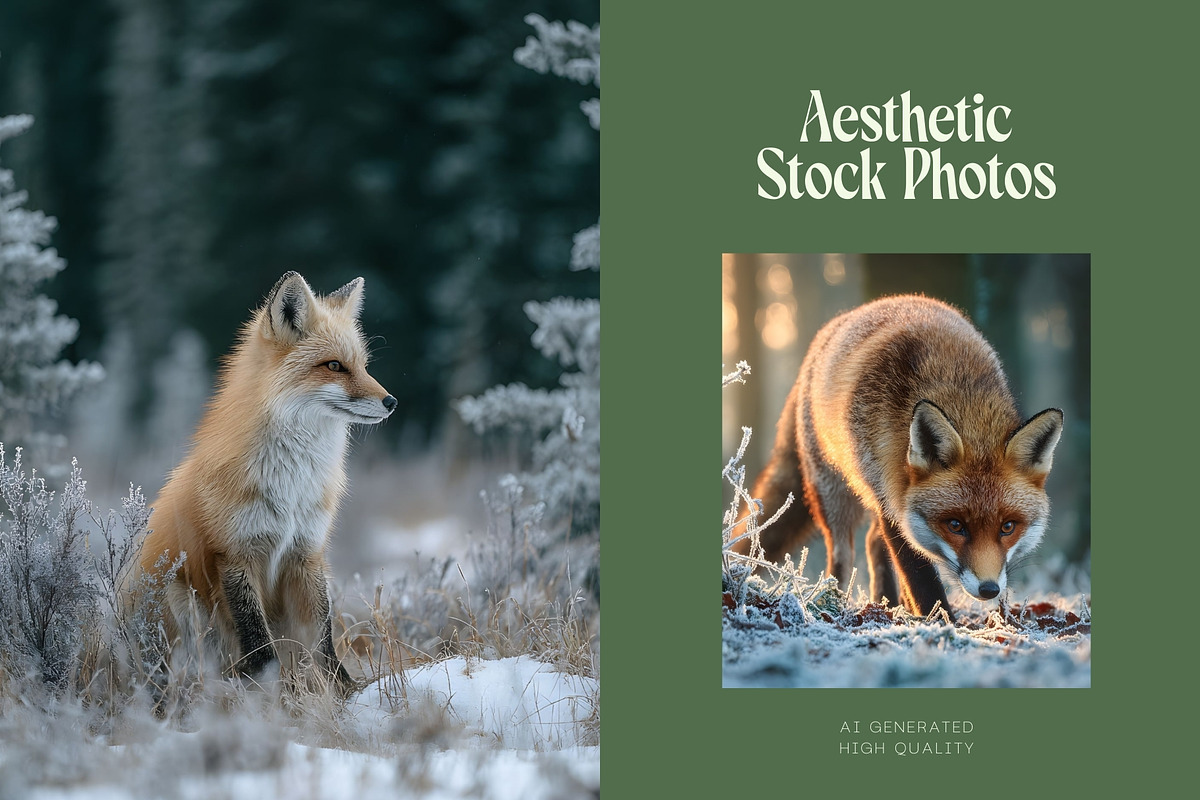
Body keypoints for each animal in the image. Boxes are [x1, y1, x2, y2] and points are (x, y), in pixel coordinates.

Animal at [127, 271, 396, 696]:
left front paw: (345, 693)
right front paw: (271, 697)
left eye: (363, 366)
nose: (391, 402)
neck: (291, 485)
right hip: (178, 595)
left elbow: (321, 639)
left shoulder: (306, 552)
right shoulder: (234, 554)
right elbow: (257, 640)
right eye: (334, 366)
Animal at [732, 294, 1063, 620]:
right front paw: (942, 623)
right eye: (955, 525)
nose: (989, 589)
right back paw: (834, 601)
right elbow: (921, 577)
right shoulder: (890, 493)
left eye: (1008, 527)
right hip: (836, 494)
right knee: (842, 554)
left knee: (873, 543)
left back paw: (889, 604)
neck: (953, 386)